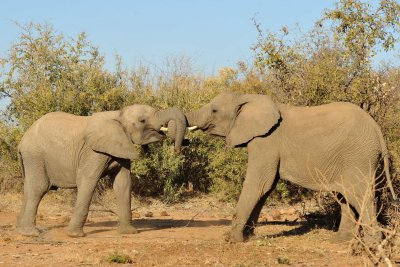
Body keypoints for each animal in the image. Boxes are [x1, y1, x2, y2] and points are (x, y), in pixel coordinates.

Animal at [17, 105, 188, 238]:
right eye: (142, 121)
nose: (177, 149)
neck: (119, 115)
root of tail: (22, 140)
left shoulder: (121, 146)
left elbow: (123, 183)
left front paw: (129, 233)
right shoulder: (93, 152)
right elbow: (88, 180)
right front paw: (75, 235)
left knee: (28, 188)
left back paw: (20, 230)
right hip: (35, 155)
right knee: (38, 188)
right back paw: (31, 233)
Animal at [185, 92, 396, 245]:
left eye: (214, 110)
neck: (247, 97)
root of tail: (377, 129)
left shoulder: (266, 141)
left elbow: (259, 183)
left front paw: (231, 240)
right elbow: (266, 187)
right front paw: (249, 238)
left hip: (358, 155)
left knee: (359, 195)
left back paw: (373, 245)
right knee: (346, 196)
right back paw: (339, 241)